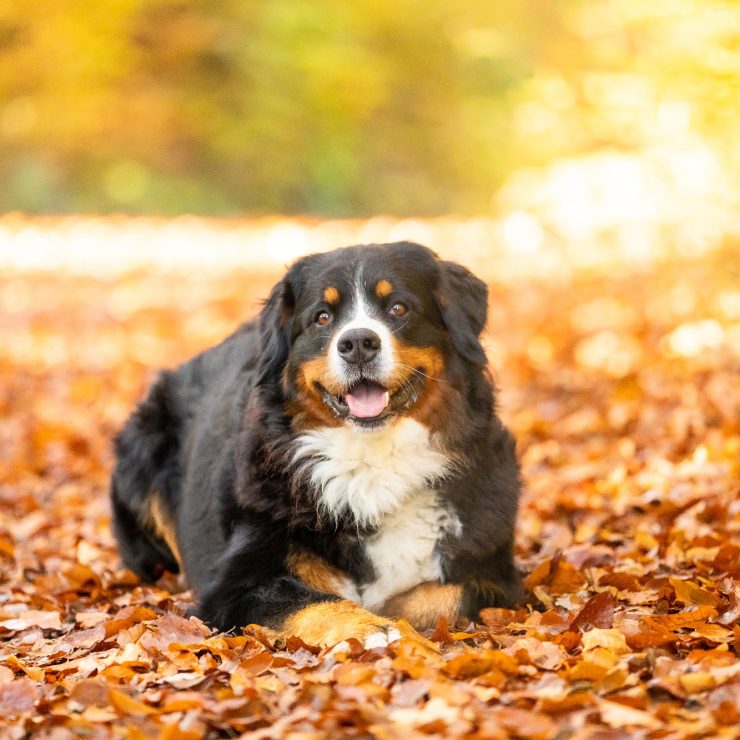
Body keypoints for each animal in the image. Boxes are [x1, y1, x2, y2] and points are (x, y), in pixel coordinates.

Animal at [112, 243, 524, 648]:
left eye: (398, 308)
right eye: (322, 317)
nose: (358, 343)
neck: (372, 461)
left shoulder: (494, 574)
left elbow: (448, 594)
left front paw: (391, 614)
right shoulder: (233, 587)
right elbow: (314, 601)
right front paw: (373, 628)